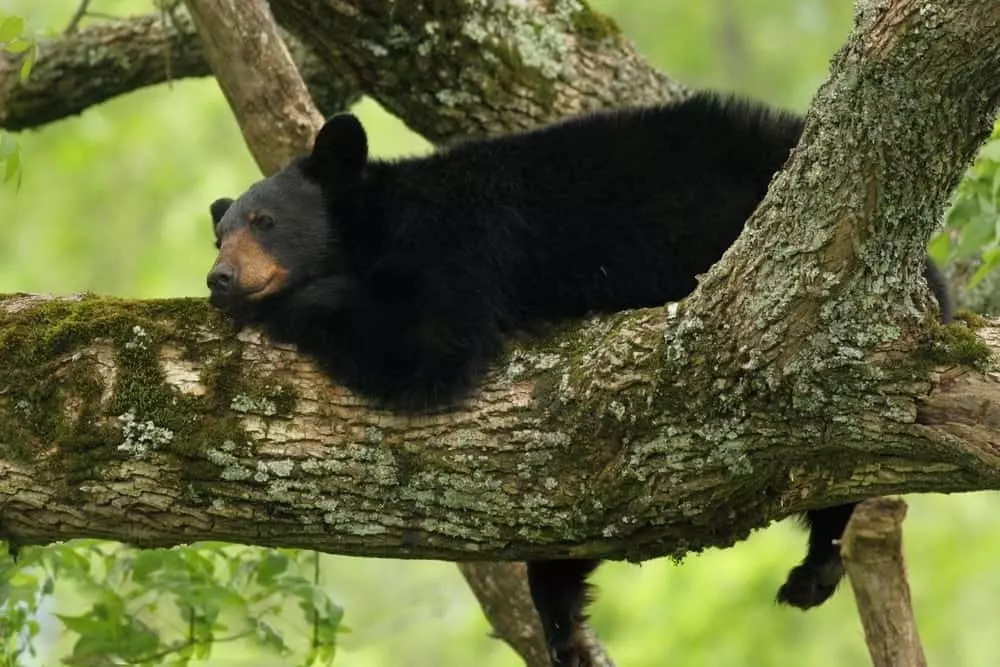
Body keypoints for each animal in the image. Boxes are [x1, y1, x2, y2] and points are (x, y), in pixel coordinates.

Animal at [205, 94, 952, 667]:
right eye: (221, 234)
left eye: (265, 221)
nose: (220, 277)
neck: (383, 222)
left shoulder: (464, 243)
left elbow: (426, 349)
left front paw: (285, 303)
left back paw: (817, 560)